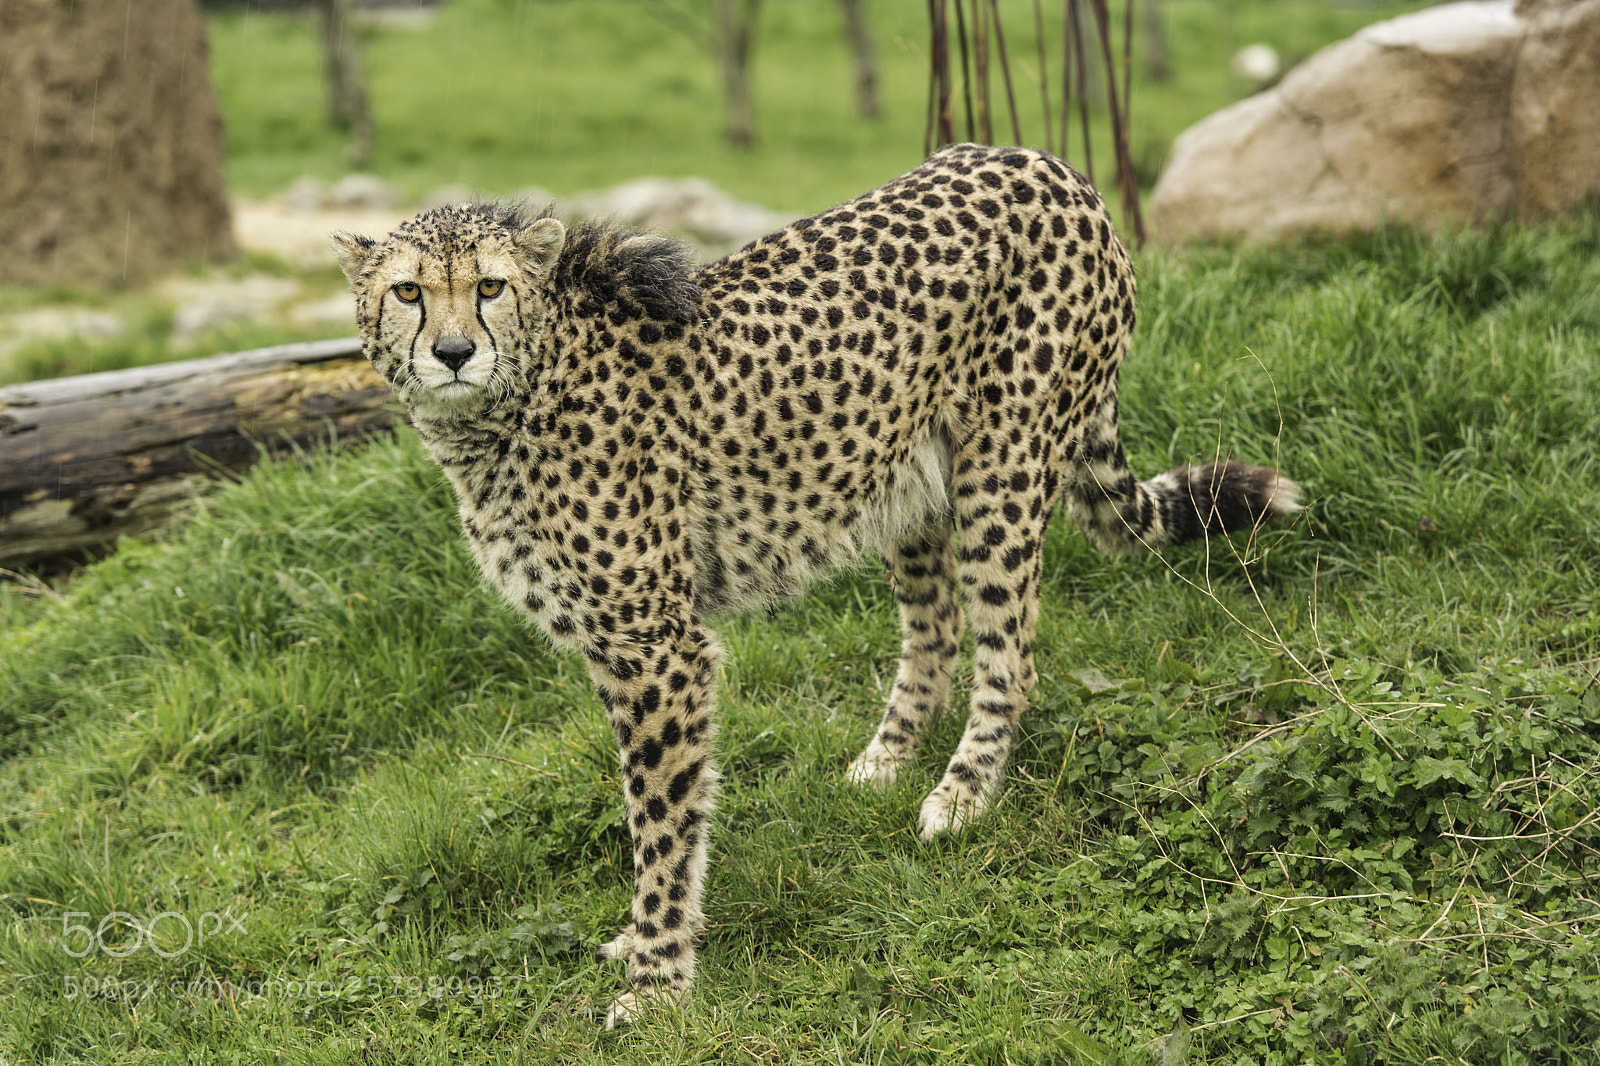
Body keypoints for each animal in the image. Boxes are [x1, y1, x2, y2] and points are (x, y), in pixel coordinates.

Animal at [331, 142, 1299, 1025]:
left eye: (490, 288)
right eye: (408, 293)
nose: (454, 351)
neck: (508, 407)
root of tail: (1049, 164)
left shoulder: (656, 647)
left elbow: (662, 822)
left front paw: (658, 977)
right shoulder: (620, 647)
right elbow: (655, 814)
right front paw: (642, 947)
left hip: (1005, 466)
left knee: (1010, 652)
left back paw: (962, 793)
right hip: (907, 479)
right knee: (936, 630)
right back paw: (884, 762)